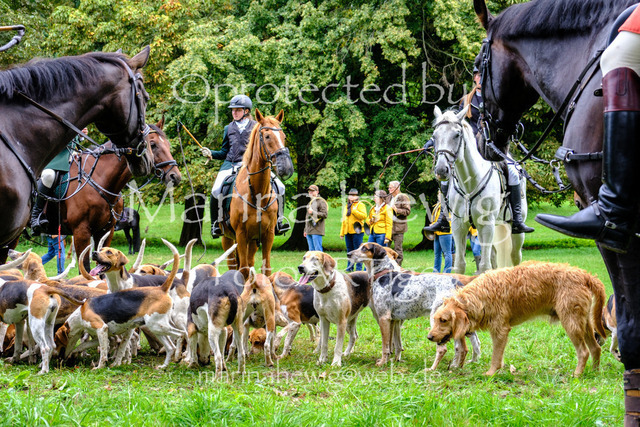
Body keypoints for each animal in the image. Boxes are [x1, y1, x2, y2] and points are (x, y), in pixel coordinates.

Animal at [59, 119, 180, 269]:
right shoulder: (81, 232)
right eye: (152, 144)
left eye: (168, 145)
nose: (175, 176)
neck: (98, 180)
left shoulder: (105, 231)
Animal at [431, 106, 525, 274]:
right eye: (434, 136)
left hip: (514, 231)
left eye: (457, 135)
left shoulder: (486, 224)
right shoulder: (459, 225)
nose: (441, 170)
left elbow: (484, 266)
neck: (469, 181)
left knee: (515, 256)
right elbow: (460, 265)